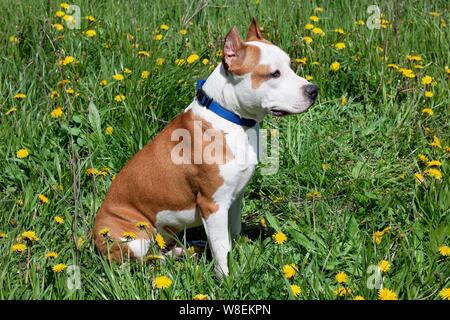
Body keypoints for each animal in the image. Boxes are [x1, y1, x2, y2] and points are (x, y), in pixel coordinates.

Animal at [93, 17, 318, 276]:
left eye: (290, 66)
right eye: (274, 74)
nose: (313, 90)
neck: (231, 118)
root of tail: (92, 234)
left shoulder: (234, 198)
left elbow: (233, 234)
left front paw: (240, 256)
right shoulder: (213, 205)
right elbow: (221, 247)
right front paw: (227, 277)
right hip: (133, 236)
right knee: (141, 262)